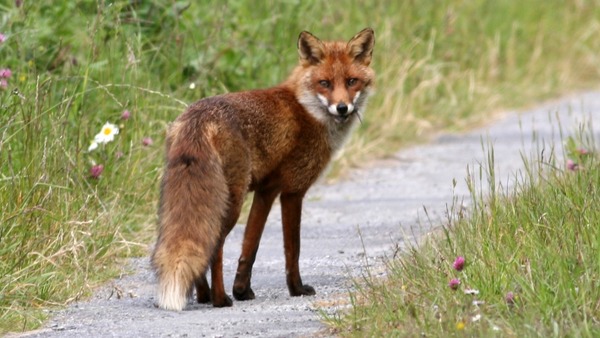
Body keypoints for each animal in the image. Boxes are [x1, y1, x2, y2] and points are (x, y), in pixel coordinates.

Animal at [151, 28, 376, 308]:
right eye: (324, 83)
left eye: (351, 81)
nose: (342, 107)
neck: (306, 109)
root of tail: (199, 118)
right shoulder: (293, 191)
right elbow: (293, 249)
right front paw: (296, 289)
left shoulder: (266, 191)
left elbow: (250, 246)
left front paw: (242, 290)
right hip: (231, 202)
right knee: (216, 246)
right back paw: (220, 299)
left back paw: (204, 296)